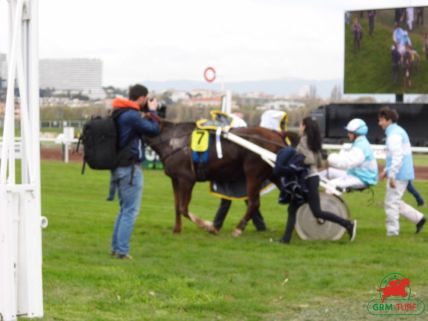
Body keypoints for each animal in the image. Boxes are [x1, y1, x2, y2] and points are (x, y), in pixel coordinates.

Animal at [145, 120, 296, 235]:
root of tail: (277, 133)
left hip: (254, 174)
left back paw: (238, 229)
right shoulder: (175, 179)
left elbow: (183, 208)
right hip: (275, 174)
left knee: (254, 203)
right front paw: (177, 229)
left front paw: (208, 225)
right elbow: (177, 206)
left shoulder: (187, 179)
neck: (172, 140)